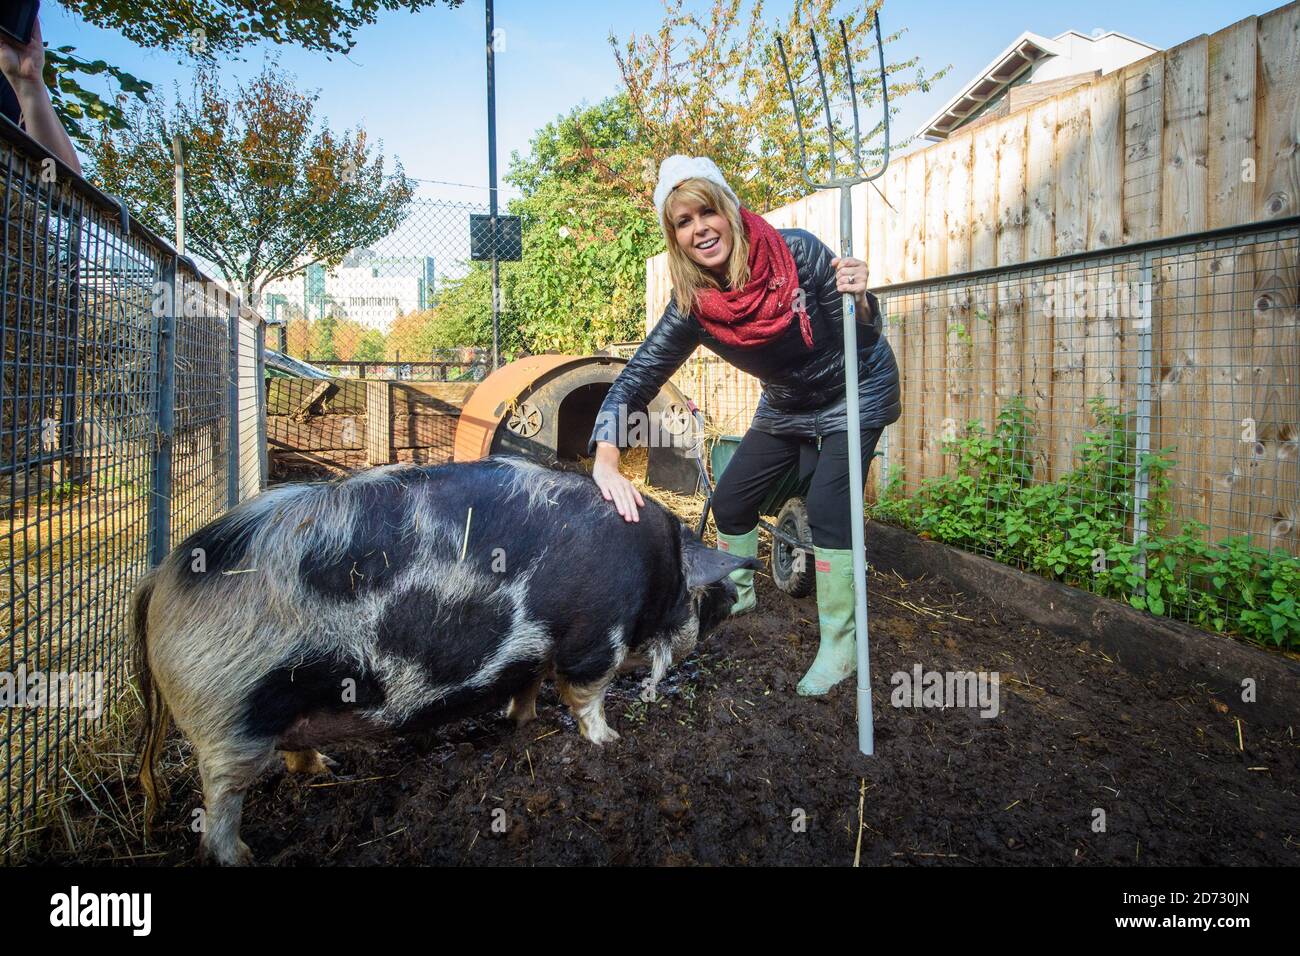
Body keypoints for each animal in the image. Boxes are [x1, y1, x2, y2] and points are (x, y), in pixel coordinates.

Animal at [131, 455, 759, 868]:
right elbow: (586, 694)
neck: (658, 567)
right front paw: (609, 743)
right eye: (704, 593)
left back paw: (327, 769)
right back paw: (245, 856)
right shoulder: (594, 638)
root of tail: (156, 579)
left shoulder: (531, 651)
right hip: (229, 718)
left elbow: (528, 684)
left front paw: (521, 724)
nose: (733, 597)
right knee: (220, 805)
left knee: (290, 753)